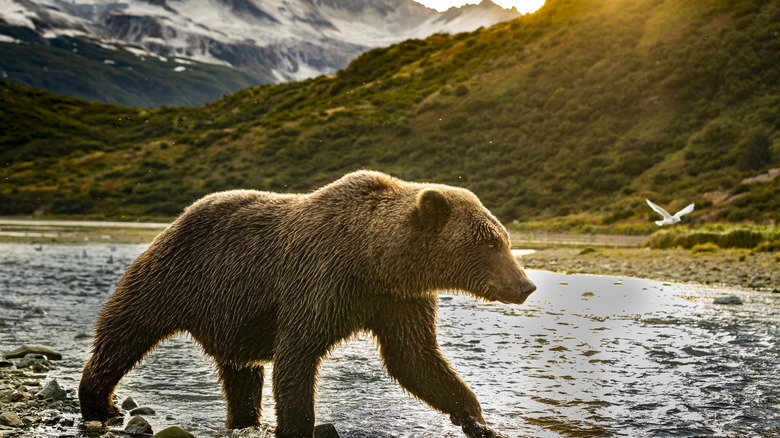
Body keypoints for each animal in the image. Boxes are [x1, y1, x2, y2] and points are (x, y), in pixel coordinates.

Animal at [77, 170, 536, 438]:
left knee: (241, 372)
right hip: (175, 275)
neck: (374, 261)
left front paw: (477, 420)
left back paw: (246, 419)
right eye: (490, 243)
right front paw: (298, 425)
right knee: (126, 329)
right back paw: (100, 402)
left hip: (232, 314)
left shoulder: (398, 301)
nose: (526, 285)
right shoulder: (319, 283)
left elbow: (416, 359)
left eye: (505, 238)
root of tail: (180, 215)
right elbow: (297, 356)